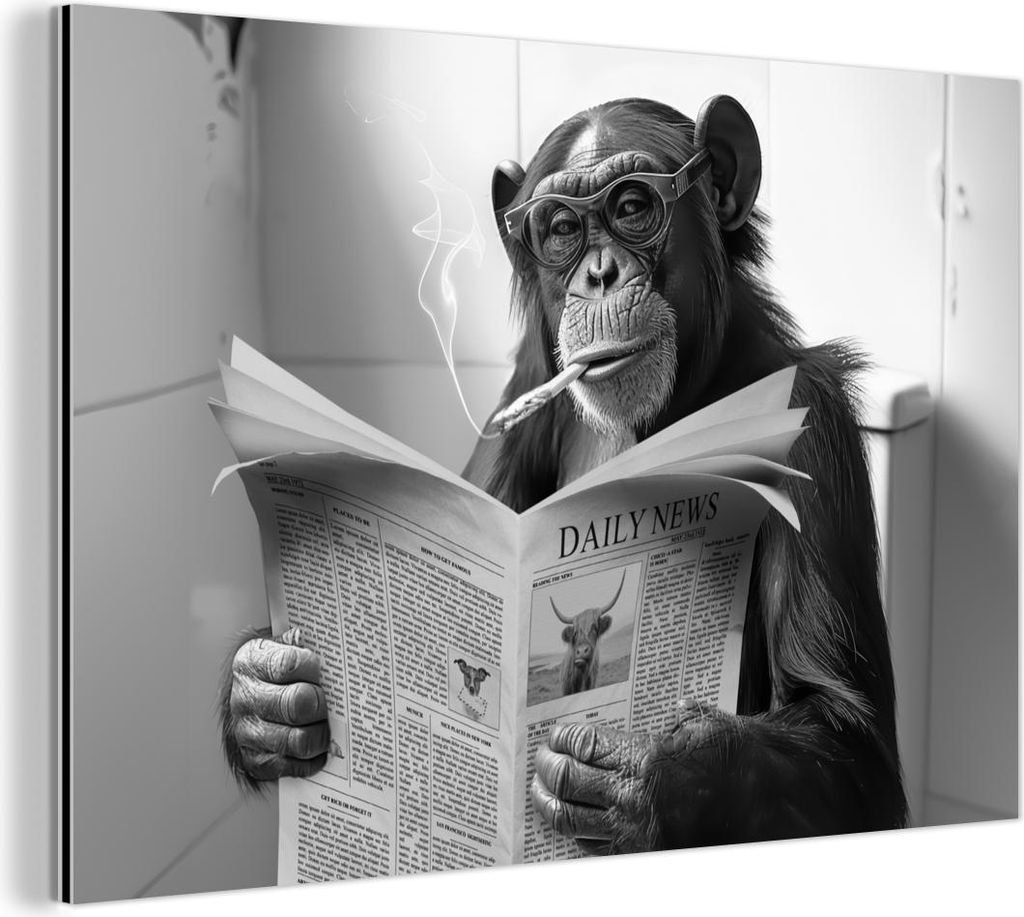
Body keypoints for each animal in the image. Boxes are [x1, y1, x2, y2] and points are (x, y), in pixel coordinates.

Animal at [221, 95, 907, 853]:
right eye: (560, 230)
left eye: (633, 205)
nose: (598, 273)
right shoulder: (526, 382)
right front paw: (267, 697)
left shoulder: (812, 422)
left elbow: (848, 742)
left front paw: (638, 776)